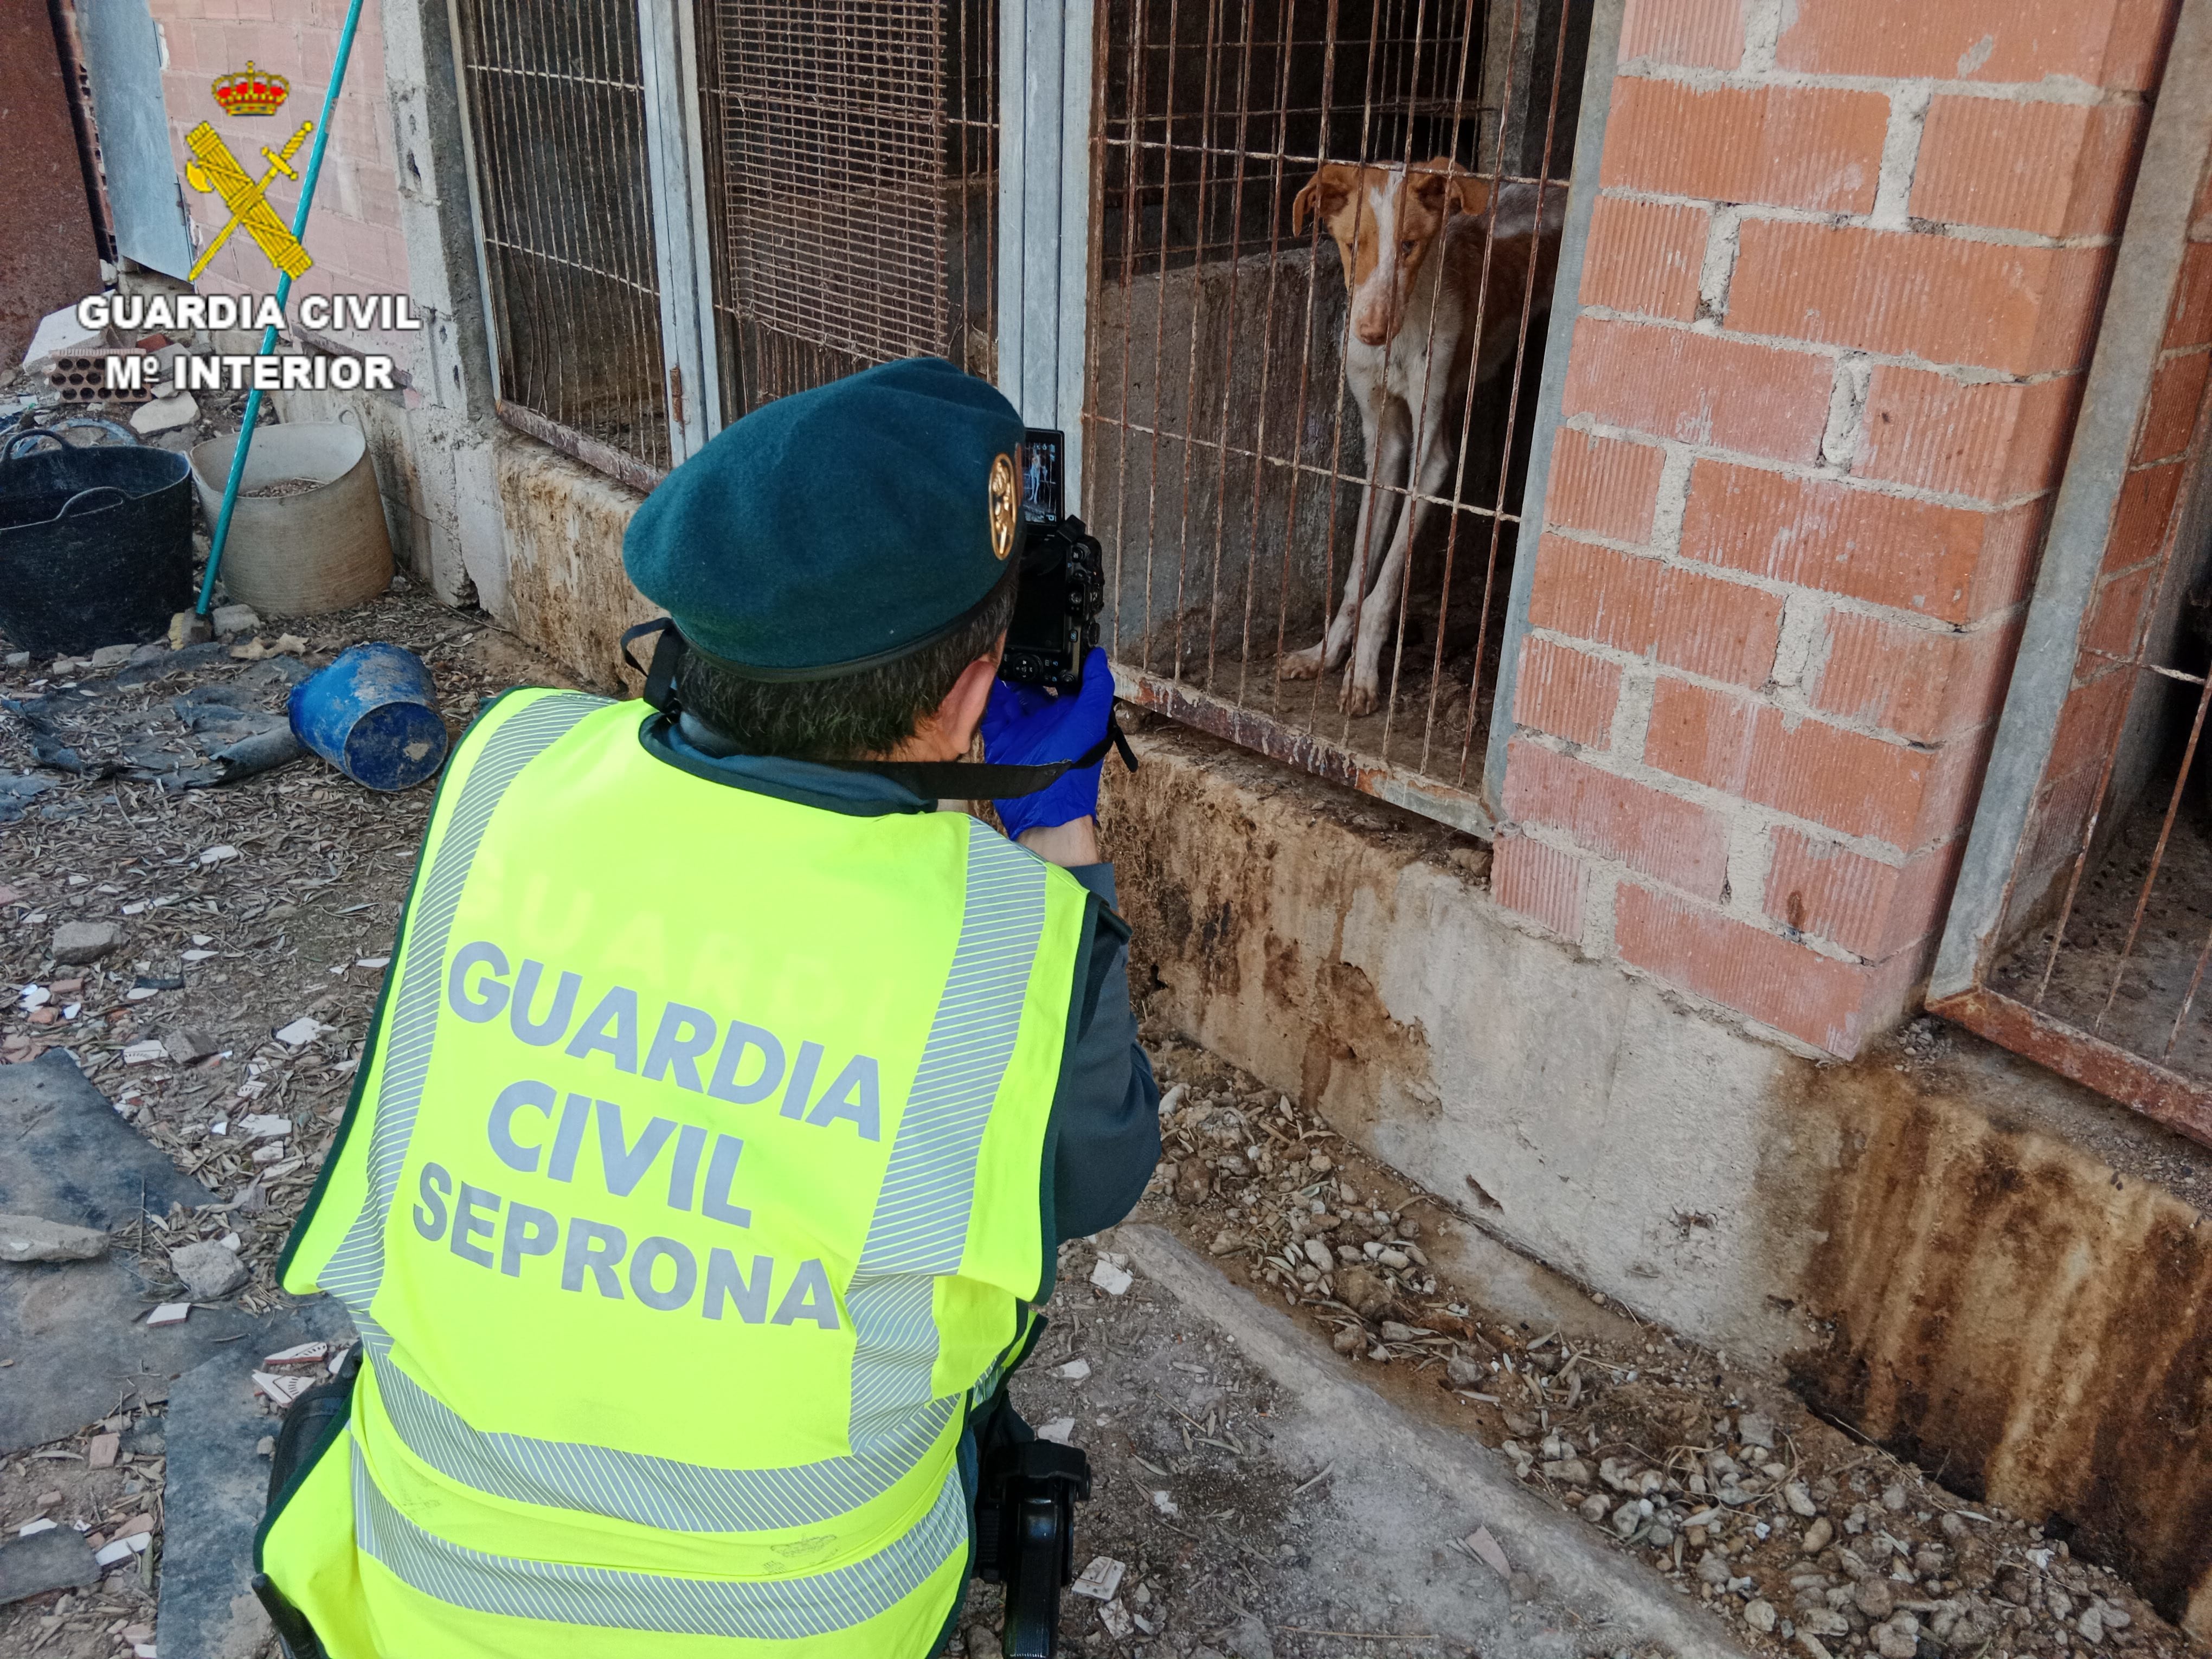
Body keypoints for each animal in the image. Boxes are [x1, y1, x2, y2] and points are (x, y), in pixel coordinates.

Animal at [1274, 157, 1566, 721]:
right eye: (1353, 244)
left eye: (1410, 246)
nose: (1370, 332)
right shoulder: (1382, 444)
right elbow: (1356, 574)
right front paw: (1324, 654)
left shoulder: (1431, 459)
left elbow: (1386, 584)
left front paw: (1362, 674)